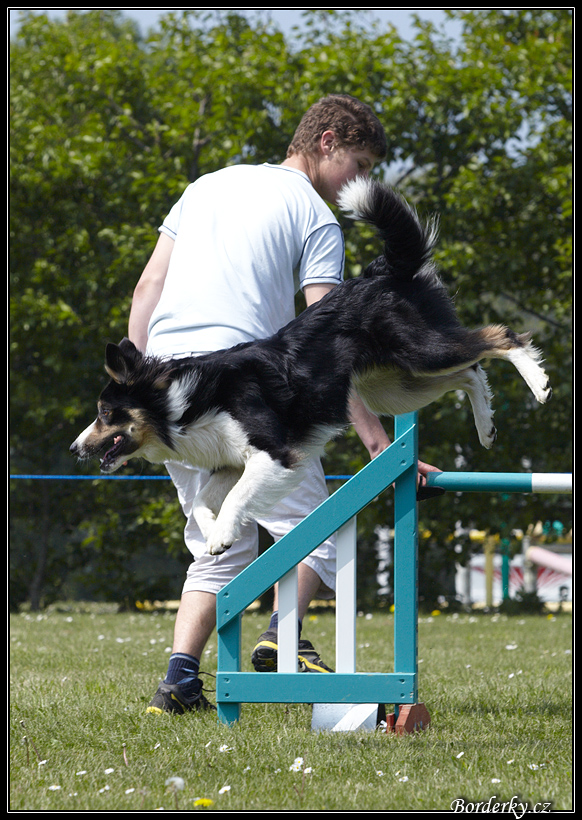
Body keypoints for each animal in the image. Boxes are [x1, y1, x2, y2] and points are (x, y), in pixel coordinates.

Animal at [72, 176, 552, 556]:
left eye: (104, 414)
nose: (76, 449)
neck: (180, 402)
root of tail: (382, 272)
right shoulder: (228, 461)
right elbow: (204, 503)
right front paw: (214, 535)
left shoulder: (275, 454)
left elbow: (234, 498)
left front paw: (223, 534)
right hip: (392, 387)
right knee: (470, 371)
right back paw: (487, 426)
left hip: (419, 351)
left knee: (500, 337)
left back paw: (539, 383)